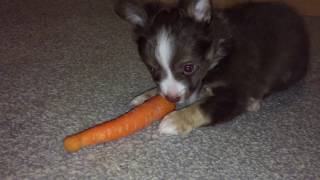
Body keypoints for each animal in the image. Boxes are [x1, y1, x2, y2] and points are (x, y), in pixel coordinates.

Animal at [114, 0, 308, 135]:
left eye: (188, 67)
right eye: (153, 69)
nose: (172, 99)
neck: (218, 56)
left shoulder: (234, 93)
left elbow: (202, 107)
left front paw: (174, 120)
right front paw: (144, 98)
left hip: (286, 70)